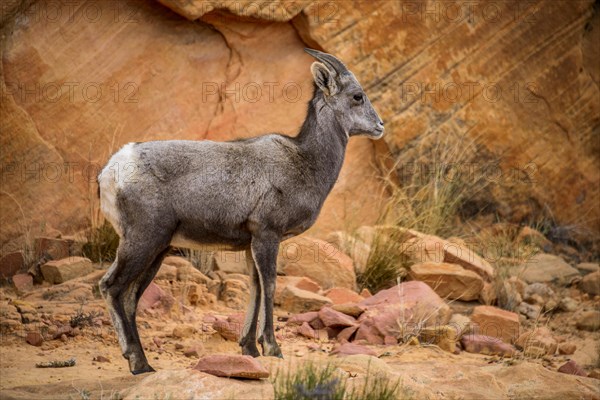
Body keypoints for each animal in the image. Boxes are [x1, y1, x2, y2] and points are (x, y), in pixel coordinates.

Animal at [97, 48, 384, 374]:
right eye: (357, 96)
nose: (380, 126)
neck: (304, 162)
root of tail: (113, 170)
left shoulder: (251, 244)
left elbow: (255, 288)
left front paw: (249, 348)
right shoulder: (267, 236)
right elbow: (269, 286)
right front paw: (272, 348)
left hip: (157, 249)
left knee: (130, 298)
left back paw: (143, 363)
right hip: (143, 241)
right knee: (111, 287)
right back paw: (137, 362)